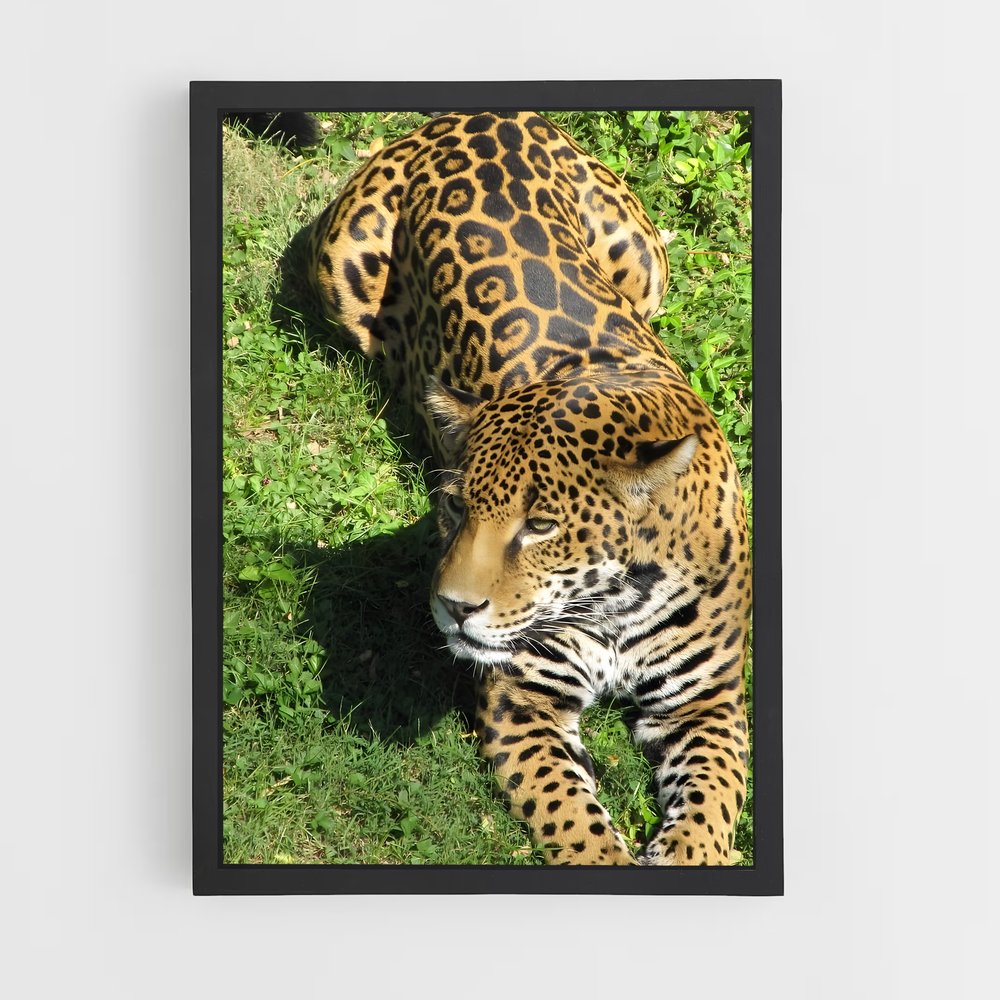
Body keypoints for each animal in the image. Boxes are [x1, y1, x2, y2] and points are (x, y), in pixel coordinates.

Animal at [305, 111, 751, 865]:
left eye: (540, 527)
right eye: (455, 506)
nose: (453, 608)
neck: (617, 607)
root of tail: (474, 115)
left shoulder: (709, 699)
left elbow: (713, 801)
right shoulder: (524, 698)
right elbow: (572, 815)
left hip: (646, 263)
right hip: (343, 265)